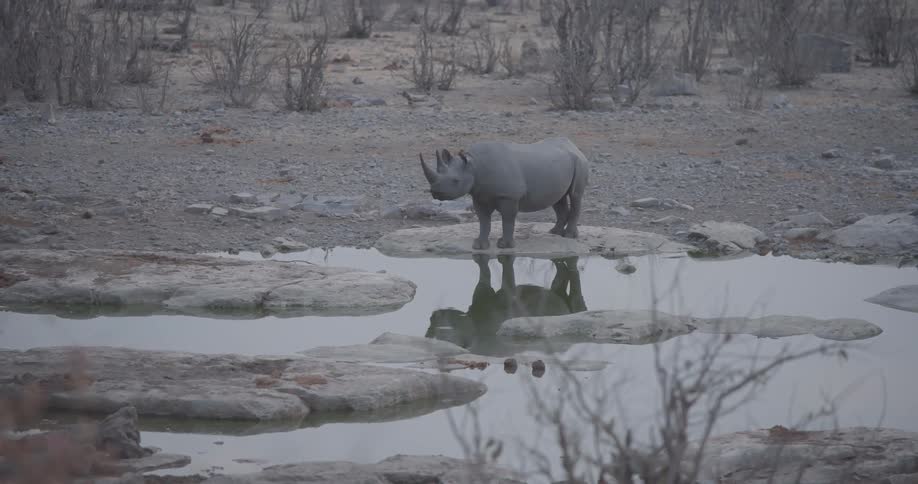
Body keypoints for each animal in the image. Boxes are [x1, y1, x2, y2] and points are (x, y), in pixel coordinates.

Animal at [419, 137, 590, 250]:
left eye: (455, 181)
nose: (435, 192)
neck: (474, 165)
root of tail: (573, 145)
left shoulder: (509, 196)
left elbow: (508, 219)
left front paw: (505, 246)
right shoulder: (479, 195)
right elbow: (484, 220)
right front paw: (479, 245)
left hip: (580, 162)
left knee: (575, 195)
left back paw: (569, 236)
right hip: (560, 165)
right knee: (558, 199)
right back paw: (554, 233)